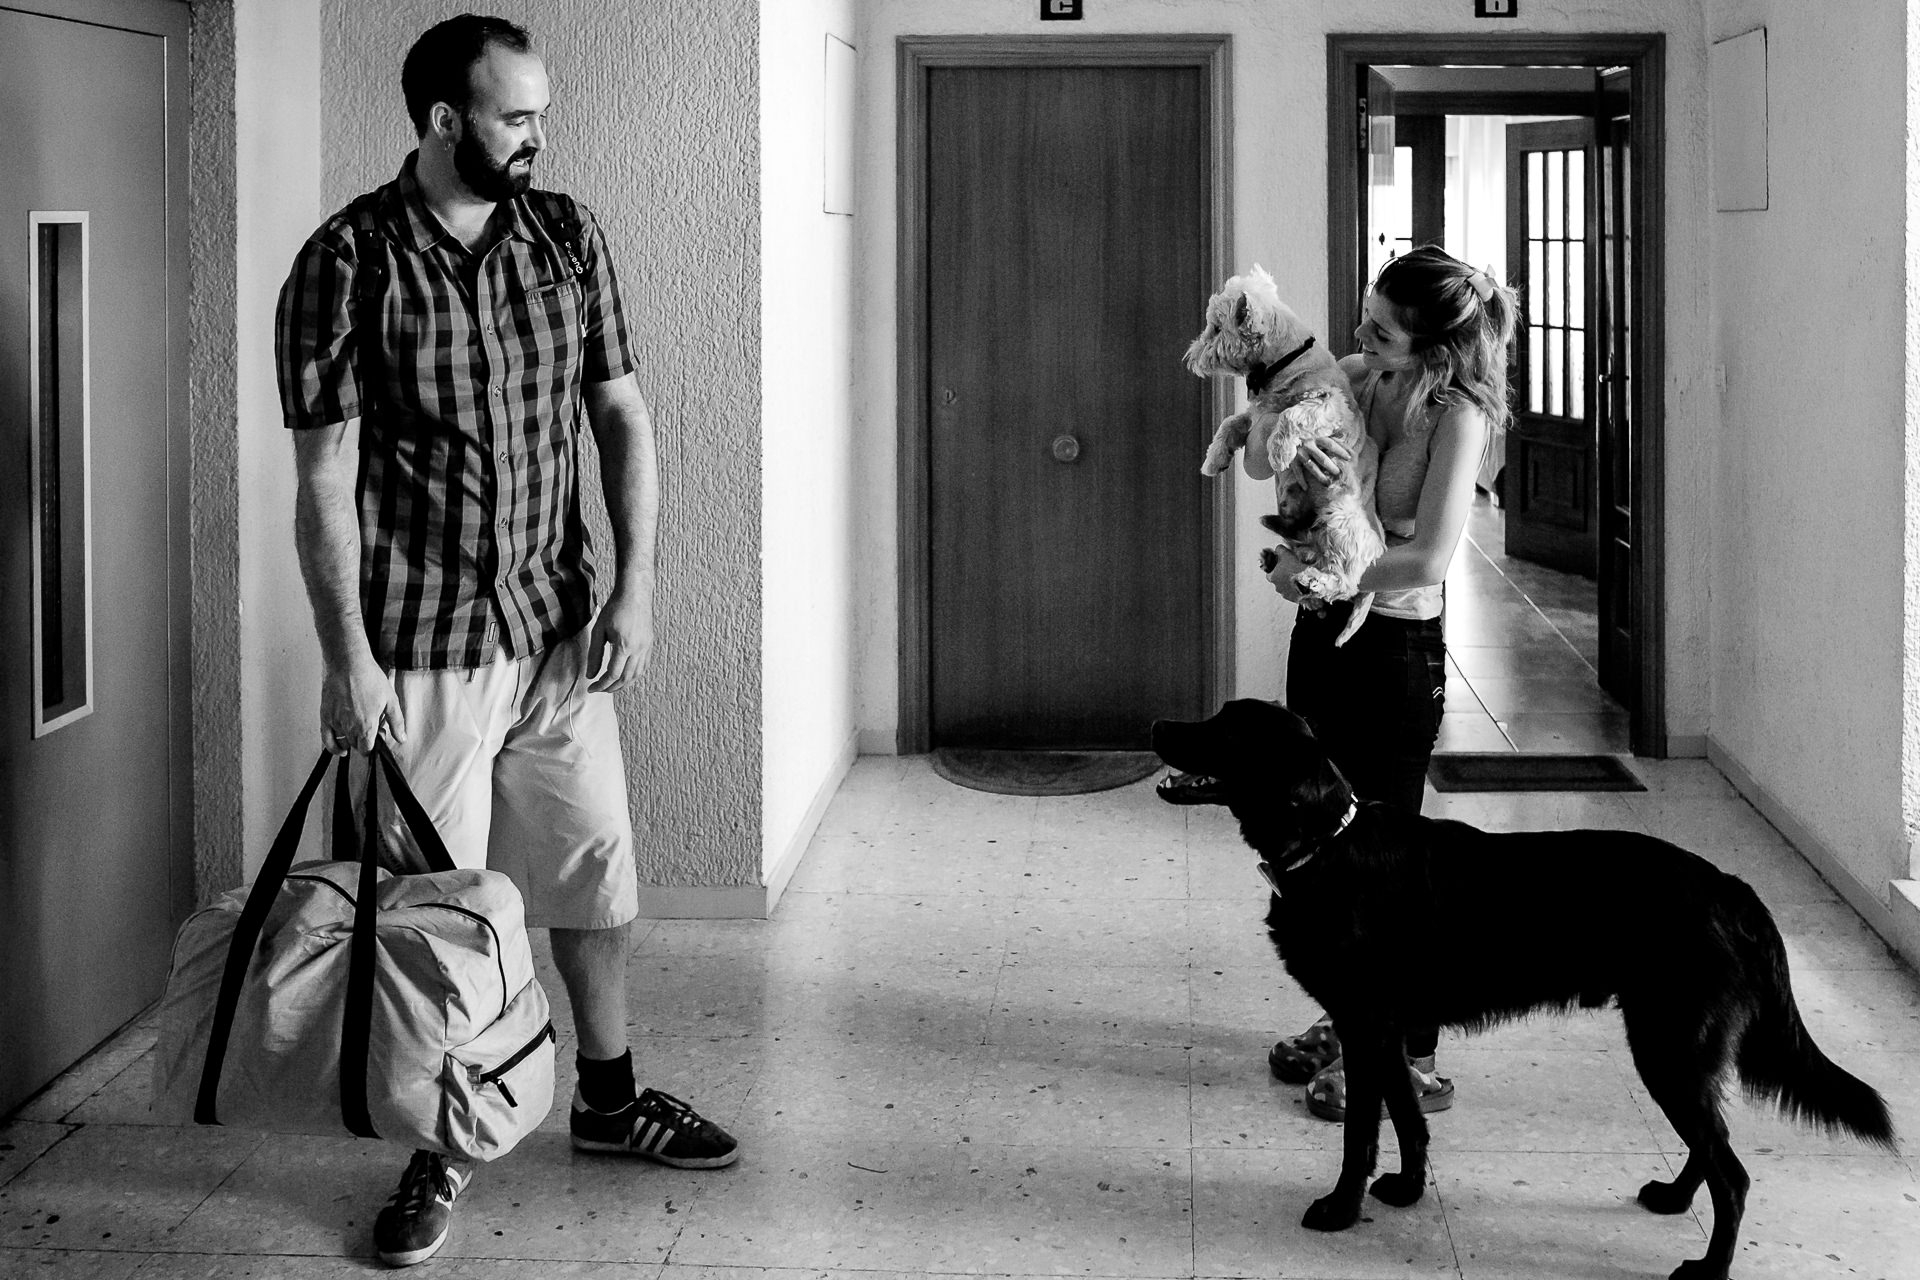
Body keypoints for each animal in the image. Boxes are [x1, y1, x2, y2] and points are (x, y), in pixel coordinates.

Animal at [1152, 702, 1889, 1280]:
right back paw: (1676, 1202)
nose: (1157, 724)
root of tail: (1732, 887)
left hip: (1668, 1050)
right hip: (1678, 1055)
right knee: (1714, 1147)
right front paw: (1408, 1191)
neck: (1330, 845)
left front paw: (1340, 1210)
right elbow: (1411, 1122)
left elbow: (1360, 1133)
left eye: (1225, 728)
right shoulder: (1387, 1034)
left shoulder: (1363, 1030)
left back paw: (1709, 1268)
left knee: (1732, 1171)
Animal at [1175, 264, 1390, 644]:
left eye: (1215, 329)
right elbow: (1230, 423)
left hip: (1340, 521)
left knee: (1345, 582)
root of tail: (1378, 547)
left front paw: (1280, 452)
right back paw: (1284, 566)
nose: (1190, 357)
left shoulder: (1329, 405)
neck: (1280, 364)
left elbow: (1293, 415)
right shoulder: (1256, 418)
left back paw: (1312, 580)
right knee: (1317, 572)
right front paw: (1214, 460)